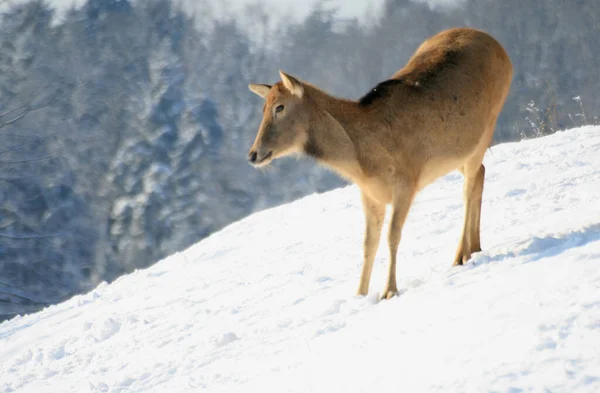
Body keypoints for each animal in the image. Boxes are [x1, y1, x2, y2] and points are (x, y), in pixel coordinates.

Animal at [246, 28, 512, 298]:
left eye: (279, 107)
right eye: (263, 108)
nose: (253, 154)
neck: (363, 162)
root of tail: (498, 45)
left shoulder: (407, 181)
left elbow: (392, 235)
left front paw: (389, 290)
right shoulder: (369, 193)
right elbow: (368, 243)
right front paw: (360, 294)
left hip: (487, 126)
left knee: (468, 190)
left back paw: (461, 254)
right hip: (461, 153)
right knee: (480, 173)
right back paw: (475, 246)